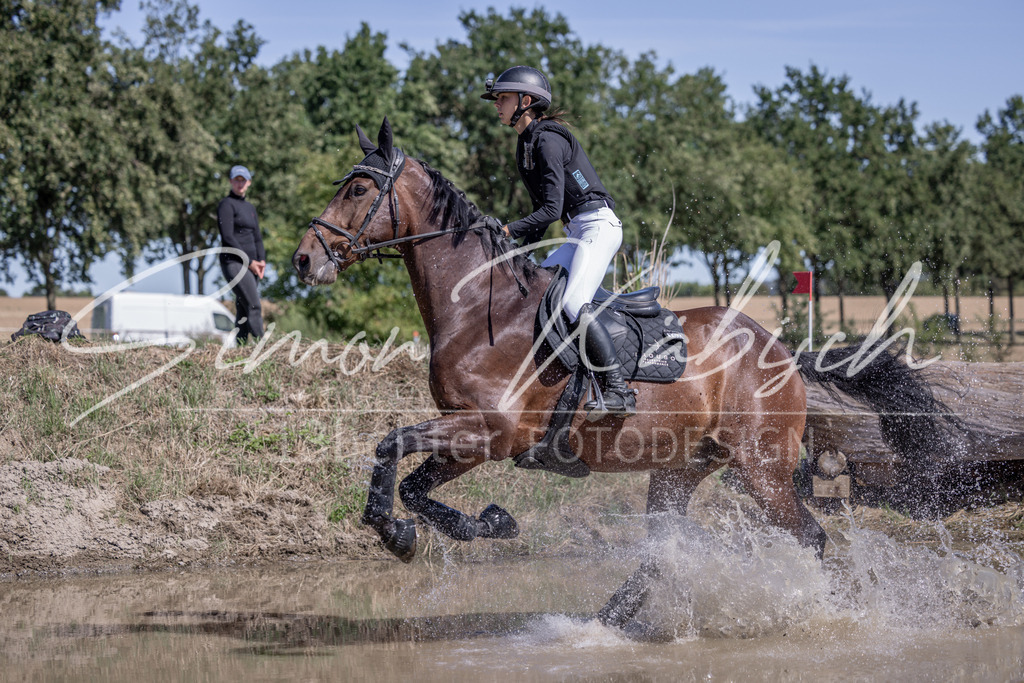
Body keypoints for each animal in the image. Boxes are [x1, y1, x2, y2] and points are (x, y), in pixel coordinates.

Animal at [292, 119, 958, 632]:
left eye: (358, 188)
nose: (303, 259)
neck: (479, 306)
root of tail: (782, 351)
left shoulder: (490, 432)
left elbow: (392, 449)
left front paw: (401, 534)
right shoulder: (468, 432)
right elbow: (411, 482)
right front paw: (479, 524)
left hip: (760, 469)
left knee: (811, 537)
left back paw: (830, 613)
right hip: (680, 467)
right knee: (663, 549)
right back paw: (604, 623)